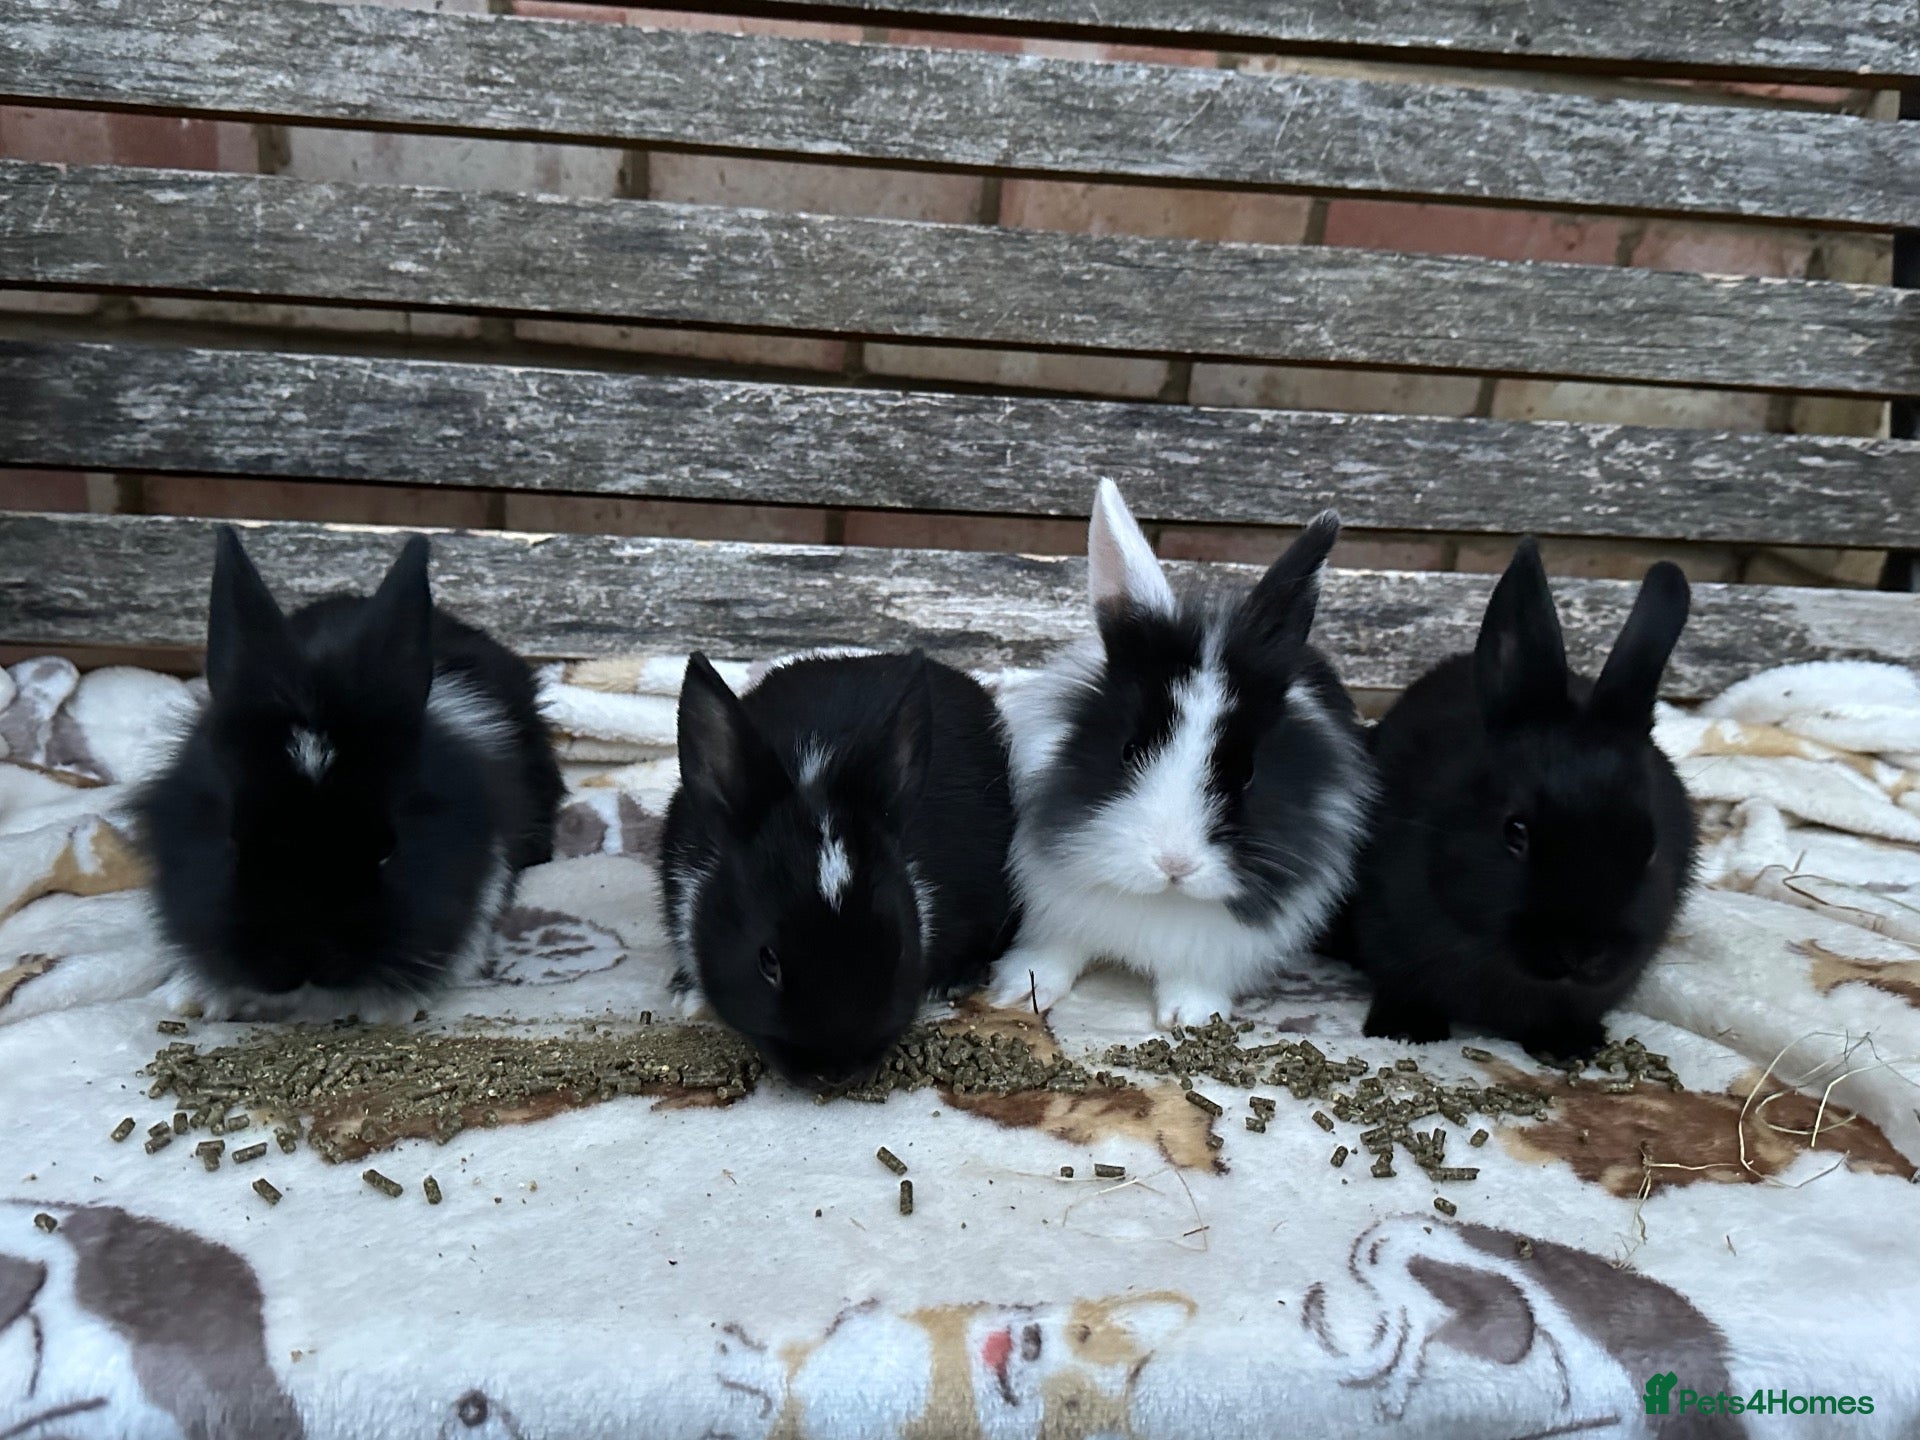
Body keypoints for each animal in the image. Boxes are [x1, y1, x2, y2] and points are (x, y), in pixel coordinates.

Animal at [985, 479, 1373, 1029]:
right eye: (1128, 750)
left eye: (1248, 772)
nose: (1174, 864)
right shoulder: (1053, 910)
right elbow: (1054, 951)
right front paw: (1017, 991)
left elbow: (1194, 978)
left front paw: (1190, 1019)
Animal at [1348, 537, 1698, 1058]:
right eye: (1515, 832)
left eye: (1650, 848)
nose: (1583, 953)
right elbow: (1400, 980)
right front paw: (1405, 1029)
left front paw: (1570, 1044)